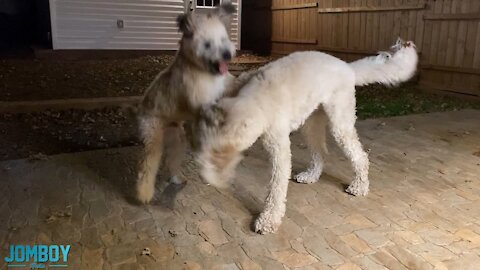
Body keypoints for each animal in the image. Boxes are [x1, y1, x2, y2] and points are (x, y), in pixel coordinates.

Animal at [195, 38, 416, 234]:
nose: (207, 174)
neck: (257, 98)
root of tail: (347, 67)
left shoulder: (280, 150)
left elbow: (276, 188)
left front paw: (269, 220)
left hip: (340, 124)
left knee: (360, 156)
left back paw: (359, 186)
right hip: (311, 124)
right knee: (319, 153)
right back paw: (312, 175)